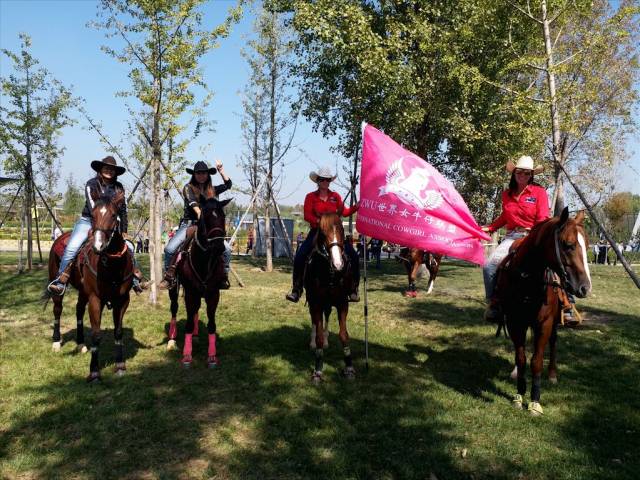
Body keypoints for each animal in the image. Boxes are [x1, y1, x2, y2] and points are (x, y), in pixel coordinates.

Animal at [47, 191, 134, 382]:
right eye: (93, 216)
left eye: (113, 215)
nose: (98, 245)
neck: (112, 266)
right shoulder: (95, 299)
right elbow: (96, 335)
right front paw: (94, 371)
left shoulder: (122, 300)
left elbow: (118, 332)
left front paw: (120, 365)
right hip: (58, 286)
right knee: (57, 310)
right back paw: (56, 342)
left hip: (83, 291)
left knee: (78, 310)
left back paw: (81, 344)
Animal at [168, 197, 230, 370]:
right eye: (205, 218)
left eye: (223, 216)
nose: (218, 246)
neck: (203, 260)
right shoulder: (190, 293)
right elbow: (188, 323)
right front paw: (187, 356)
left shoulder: (213, 294)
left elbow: (212, 324)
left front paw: (212, 356)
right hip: (174, 289)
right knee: (174, 309)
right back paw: (171, 339)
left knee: (195, 310)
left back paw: (195, 335)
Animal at [304, 212, 356, 380]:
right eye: (322, 232)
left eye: (342, 230)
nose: (338, 264)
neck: (330, 272)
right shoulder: (316, 303)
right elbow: (319, 334)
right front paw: (317, 370)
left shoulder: (342, 303)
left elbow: (344, 335)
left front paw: (349, 368)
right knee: (314, 320)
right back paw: (312, 342)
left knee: (326, 315)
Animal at [498, 208, 592, 414]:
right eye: (568, 245)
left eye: (588, 246)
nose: (585, 288)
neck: (528, 281)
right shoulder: (515, 322)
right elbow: (521, 358)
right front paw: (519, 395)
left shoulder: (545, 323)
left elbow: (537, 361)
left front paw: (534, 401)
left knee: (554, 342)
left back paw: (553, 374)